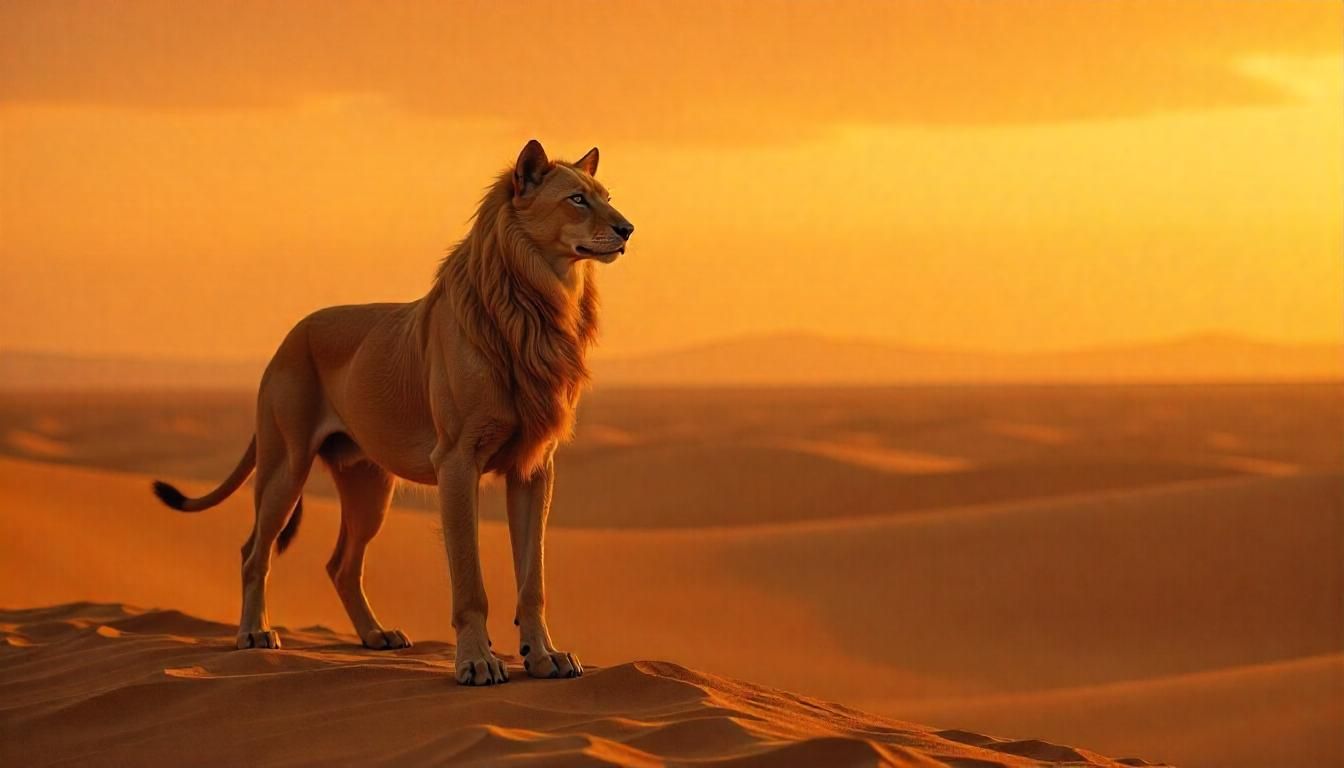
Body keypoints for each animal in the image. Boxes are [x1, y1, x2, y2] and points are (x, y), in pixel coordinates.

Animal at [152, 140, 632, 685]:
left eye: (607, 196)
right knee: (254, 551)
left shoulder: (533, 468)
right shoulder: (457, 461)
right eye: (577, 199)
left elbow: (534, 579)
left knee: (341, 565)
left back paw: (376, 636)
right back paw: (254, 634)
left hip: (369, 488)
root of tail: (289, 336)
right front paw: (477, 661)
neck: (539, 303)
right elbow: (469, 581)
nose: (628, 229)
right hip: (284, 468)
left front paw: (545, 656)